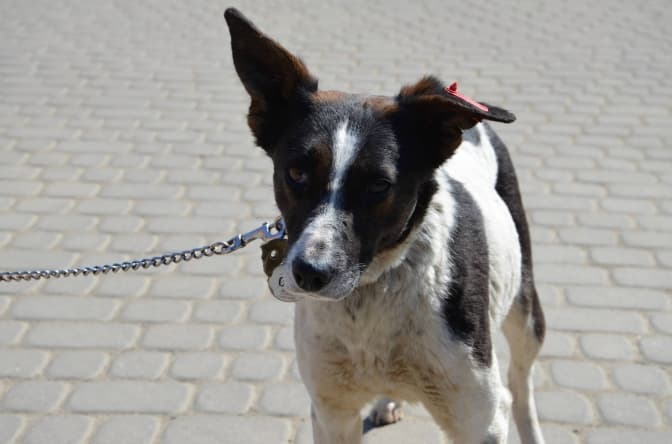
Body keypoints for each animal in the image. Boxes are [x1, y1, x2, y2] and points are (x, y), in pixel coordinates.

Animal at [224, 8, 546, 444]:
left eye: (379, 185)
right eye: (296, 173)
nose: (309, 274)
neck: (373, 290)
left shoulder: (480, 421)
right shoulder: (331, 413)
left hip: (525, 309)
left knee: (520, 382)